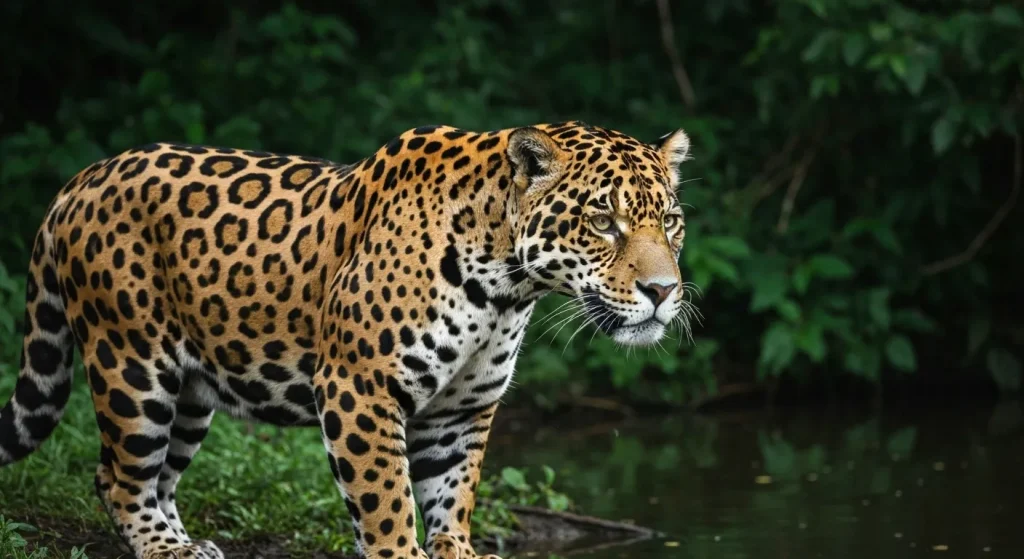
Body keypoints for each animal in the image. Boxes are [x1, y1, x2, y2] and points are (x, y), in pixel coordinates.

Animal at [0, 121, 693, 559]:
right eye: (603, 222)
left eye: (671, 222)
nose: (664, 290)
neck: (505, 286)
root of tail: (81, 179)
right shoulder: (360, 388)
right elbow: (386, 499)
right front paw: (401, 552)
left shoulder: (463, 408)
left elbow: (452, 494)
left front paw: (457, 550)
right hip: (133, 366)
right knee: (117, 477)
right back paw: (166, 549)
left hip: (193, 388)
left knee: (160, 476)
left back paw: (190, 544)